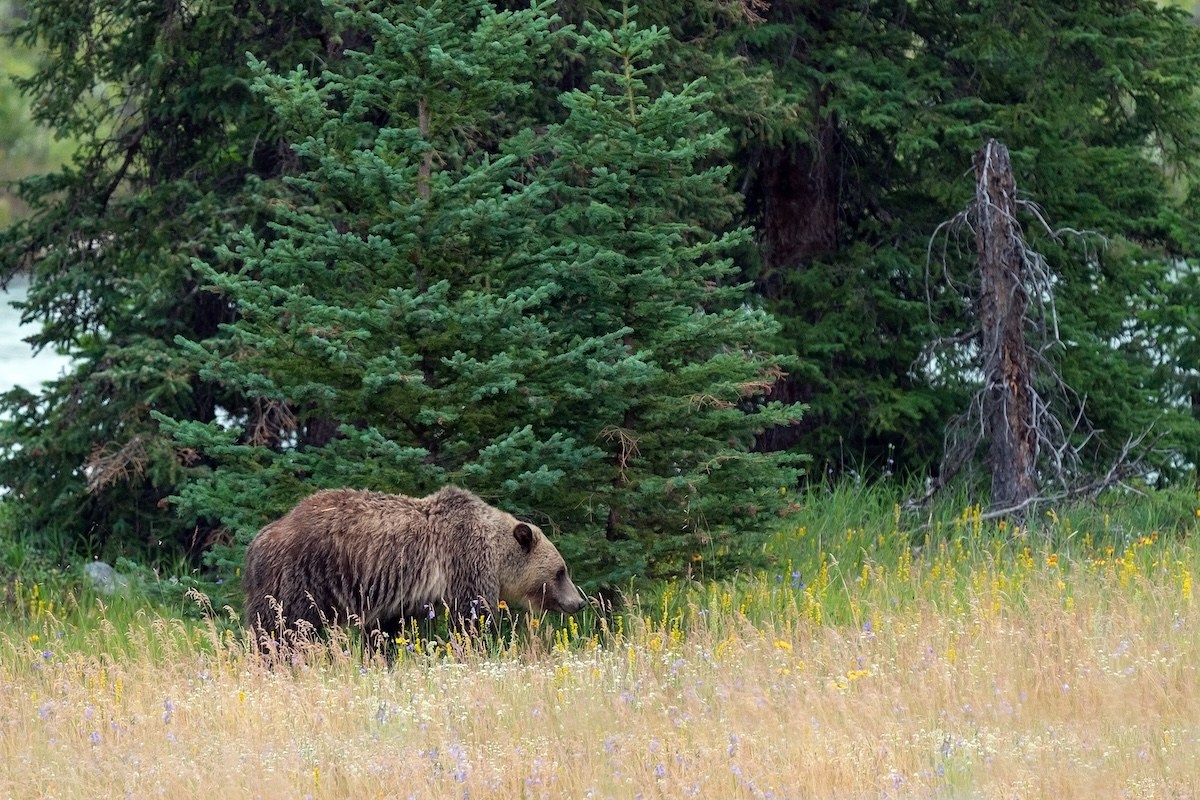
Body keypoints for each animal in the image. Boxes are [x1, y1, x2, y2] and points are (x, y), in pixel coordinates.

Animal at [242, 485, 586, 646]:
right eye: (561, 571)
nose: (580, 602)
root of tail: (259, 539)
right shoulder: (464, 564)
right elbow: (472, 618)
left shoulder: (390, 597)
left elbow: (384, 631)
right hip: (301, 578)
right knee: (282, 627)